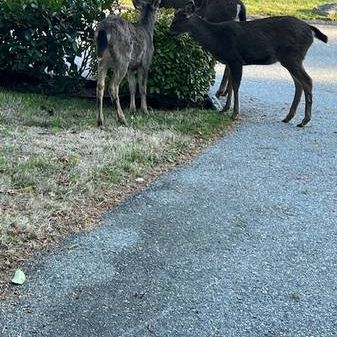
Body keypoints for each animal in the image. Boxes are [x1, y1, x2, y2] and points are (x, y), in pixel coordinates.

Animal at [169, 1, 326, 126]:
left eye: (176, 21)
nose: (169, 31)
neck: (215, 38)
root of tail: (310, 30)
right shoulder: (230, 61)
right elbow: (231, 85)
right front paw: (225, 109)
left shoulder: (235, 59)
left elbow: (236, 86)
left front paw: (234, 114)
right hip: (289, 58)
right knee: (298, 83)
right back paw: (288, 117)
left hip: (292, 56)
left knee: (307, 81)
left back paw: (304, 120)